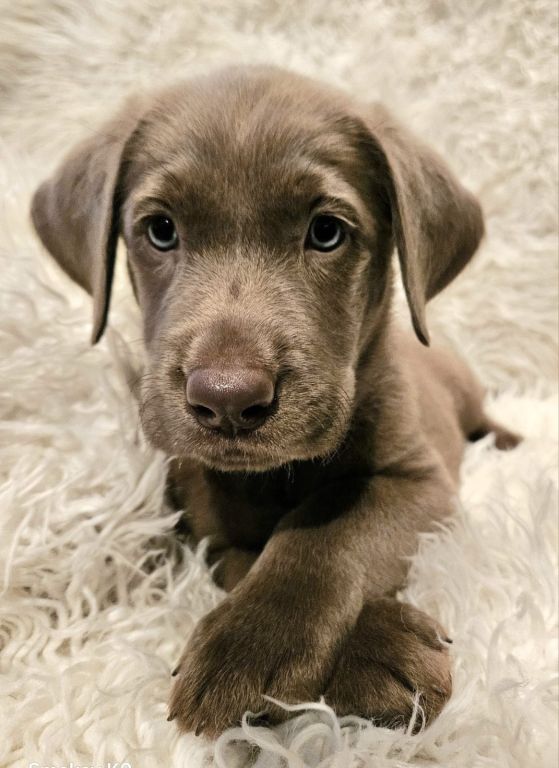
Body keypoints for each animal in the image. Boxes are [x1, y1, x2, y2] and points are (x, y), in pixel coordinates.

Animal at [30, 67, 520, 736]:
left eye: (326, 232)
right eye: (161, 230)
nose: (228, 399)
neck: (273, 477)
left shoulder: (418, 478)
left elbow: (329, 529)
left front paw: (262, 644)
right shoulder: (207, 530)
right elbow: (256, 552)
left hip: (464, 393)